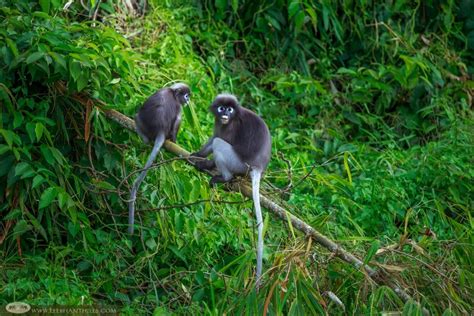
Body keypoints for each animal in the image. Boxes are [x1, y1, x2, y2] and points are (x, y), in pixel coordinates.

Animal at [130, 83, 191, 235]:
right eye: (186, 96)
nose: (188, 100)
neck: (173, 92)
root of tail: (161, 130)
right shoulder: (178, 104)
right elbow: (177, 120)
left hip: (142, 124)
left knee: (137, 116)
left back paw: (145, 139)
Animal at [190, 94, 270, 286]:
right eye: (222, 108)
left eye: (230, 109)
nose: (225, 114)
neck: (230, 120)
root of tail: (257, 167)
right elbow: (212, 137)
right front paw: (198, 155)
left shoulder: (231, 128)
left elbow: (218, 139)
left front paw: (206, 162)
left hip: (237, 163)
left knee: (220, 144)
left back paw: (223, 177)